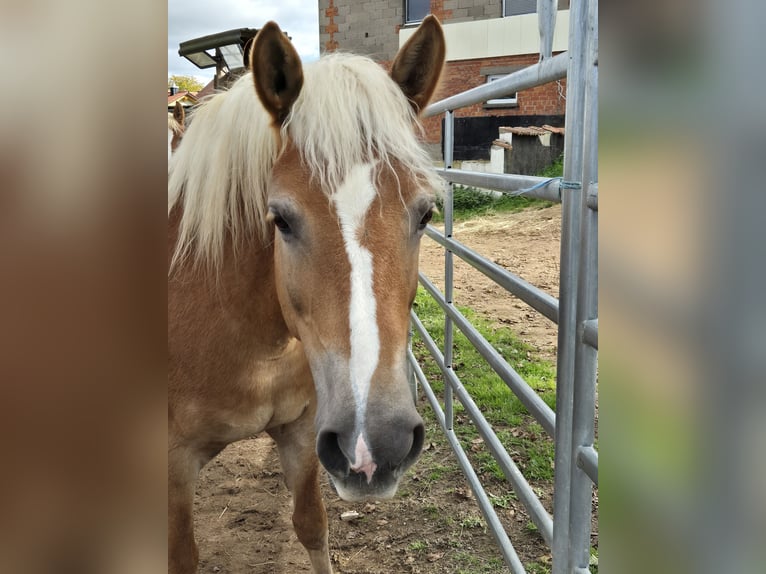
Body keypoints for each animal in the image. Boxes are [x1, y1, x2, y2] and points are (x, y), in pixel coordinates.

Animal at [168, 16, 445, 574]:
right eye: (281, 219)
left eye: (426, 213)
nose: (374, 445)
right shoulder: (171, 466)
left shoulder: (301, 433)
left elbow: (312, 527)